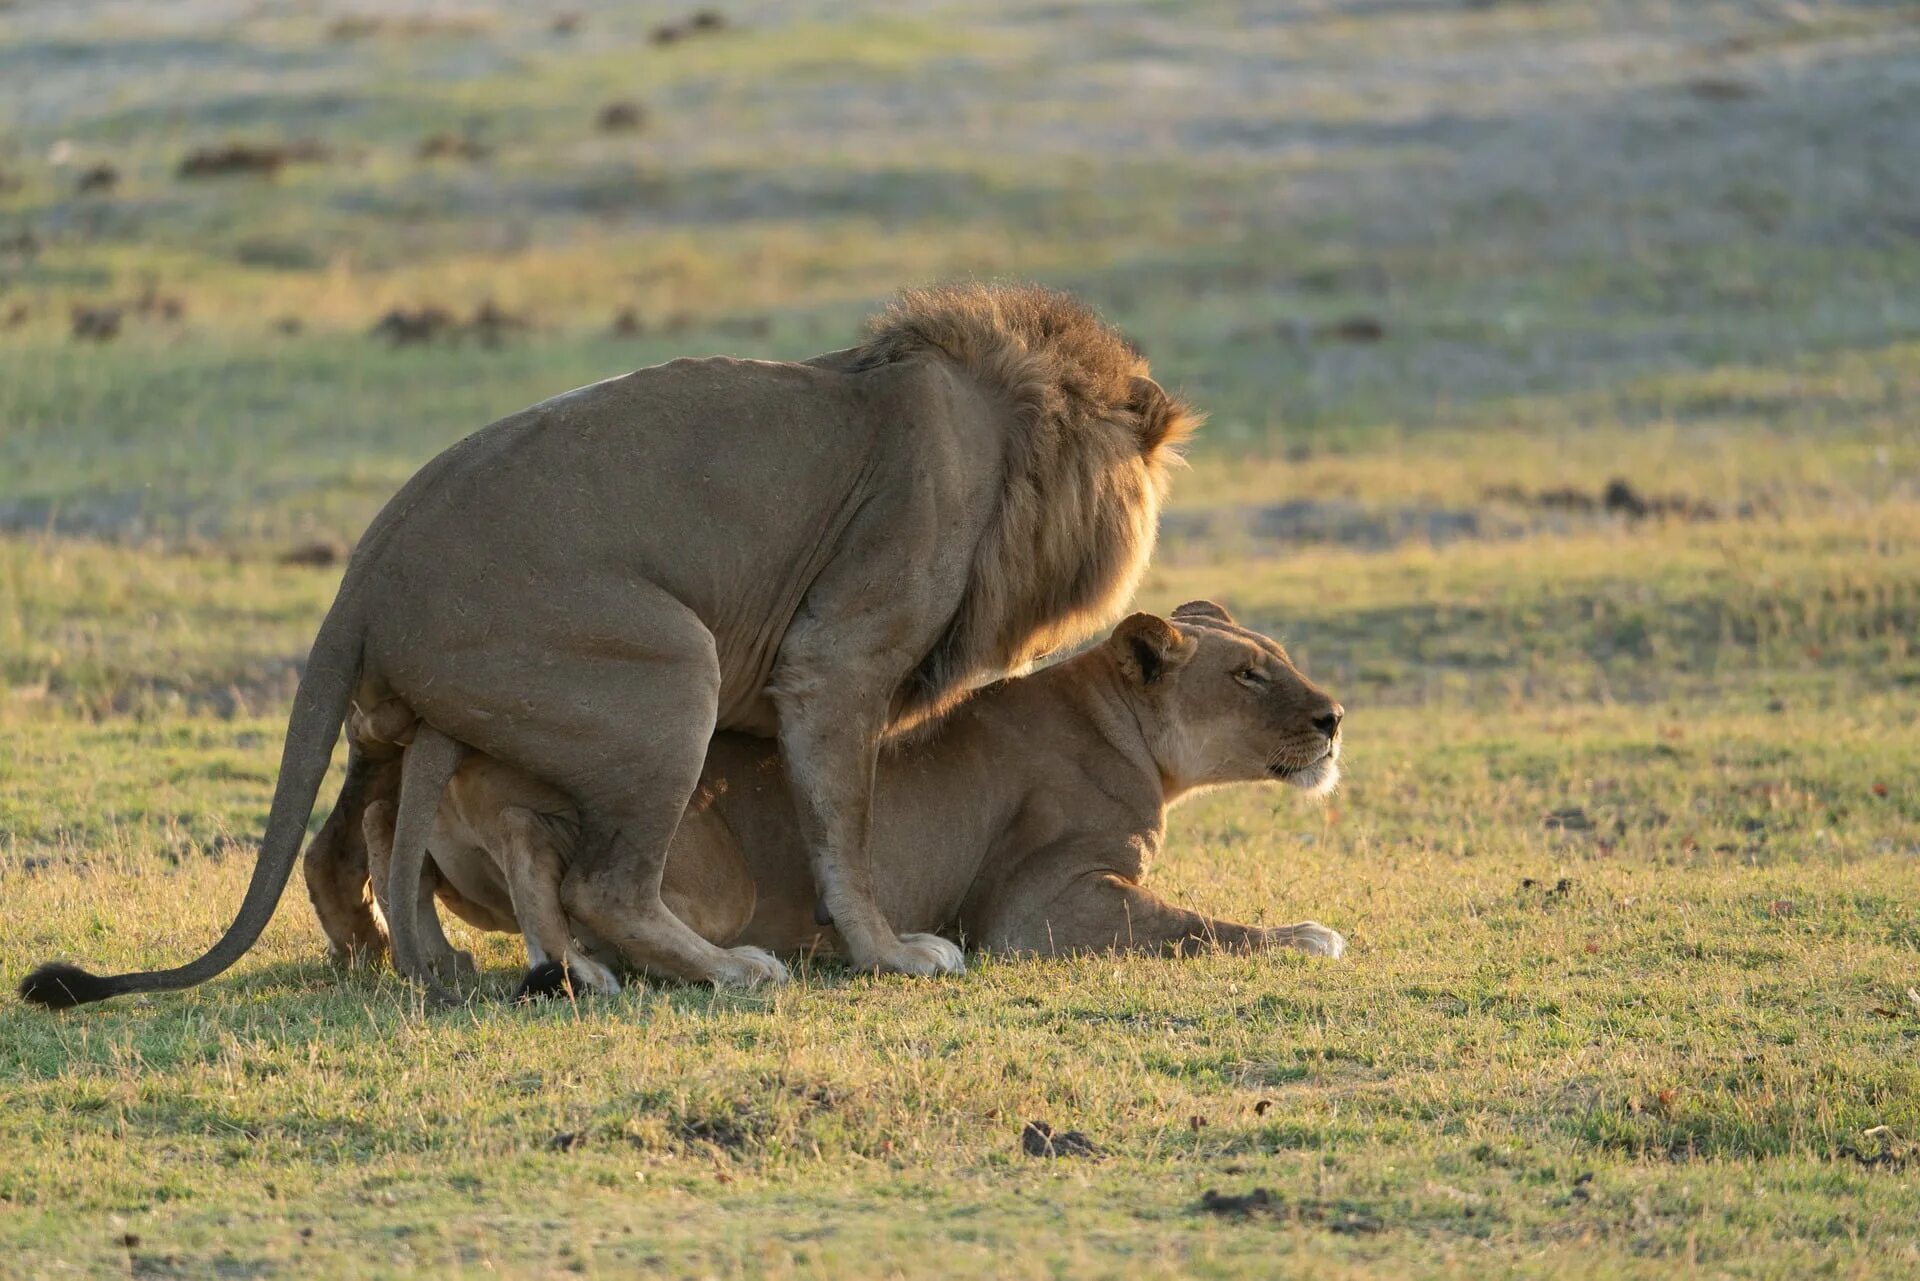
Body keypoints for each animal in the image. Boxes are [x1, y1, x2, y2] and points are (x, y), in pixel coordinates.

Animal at [22, 282, 1198, 1014]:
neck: (1003, 436)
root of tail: (364, 571)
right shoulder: (837, 659)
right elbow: (845, 829)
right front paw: (893, 954)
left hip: (404, 722)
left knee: (337, 846)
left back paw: (401, 955)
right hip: (672, 671)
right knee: (608, 884)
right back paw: (729, 971)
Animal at [330, 606, 1344, 998]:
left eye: (1279, 657)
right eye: (1248, 675)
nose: (1335, 715)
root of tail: (456, 736)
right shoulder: (1039, 906)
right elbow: (1199, 924)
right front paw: (1309, 936)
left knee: (394, 829)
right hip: (710, 873)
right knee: (564, 868)